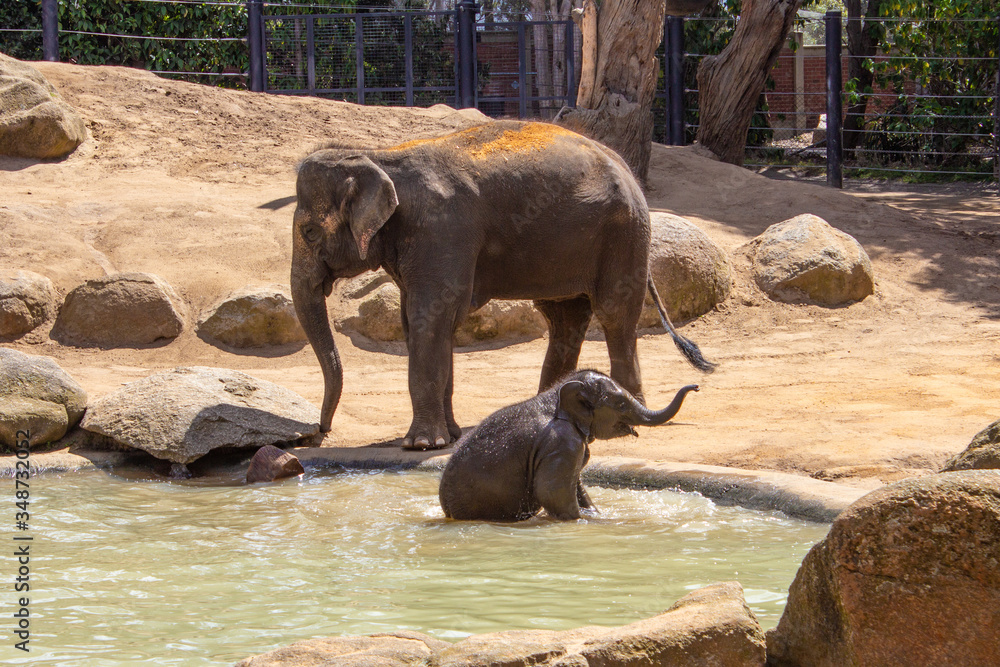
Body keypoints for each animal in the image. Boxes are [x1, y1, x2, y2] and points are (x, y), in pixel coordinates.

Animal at [291, 120, 714, 450]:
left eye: (309, 232)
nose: (319, 432)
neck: (378, 156)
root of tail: (624, 165)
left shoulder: (442, 231)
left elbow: (431, 318)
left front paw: (421, 445)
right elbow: (425, 324)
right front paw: (451, 436)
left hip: (624, 233)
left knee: (614, 314)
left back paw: (629, 414)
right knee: (564, 319)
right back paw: (547, 411)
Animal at [438, 370, 699, 521]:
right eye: (621, 404)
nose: (695, 387)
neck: (555, 394)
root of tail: (447, 507)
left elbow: (576, 487)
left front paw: (595, 513)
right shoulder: (562, 443)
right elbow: (552, 492)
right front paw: (587, 521)